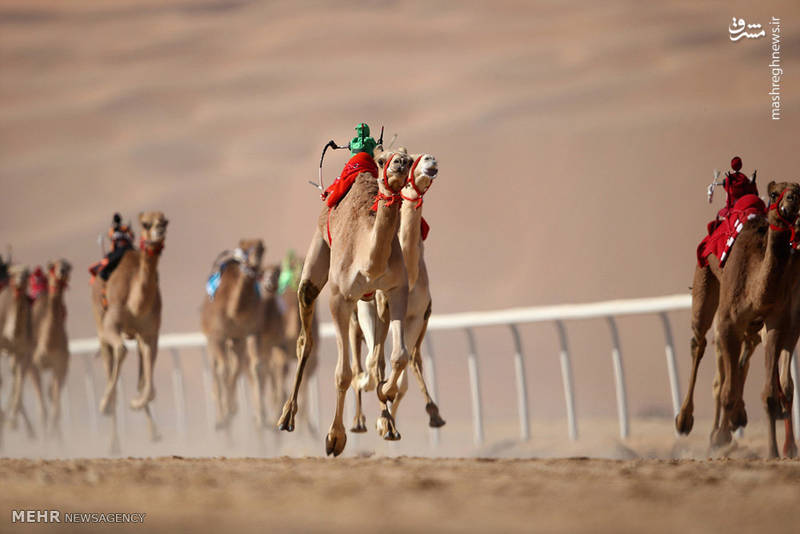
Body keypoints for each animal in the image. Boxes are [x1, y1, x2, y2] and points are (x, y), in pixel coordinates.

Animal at [91, 211, 168, 454]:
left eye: (165, 221)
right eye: (145, 224)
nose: (159, 231)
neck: (136, 305)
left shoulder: (151, 333)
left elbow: (148, 386)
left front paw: (136, 402)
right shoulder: (111, 325)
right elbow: (122, 352)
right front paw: (104, 405)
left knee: (139, 373)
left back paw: (154, 433)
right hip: (101, 329)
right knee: (112, 361)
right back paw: (113, 442)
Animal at [276, 147, 412, 456]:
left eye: (409, 159)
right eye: (382, 160)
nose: (399, 163)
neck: (368, 260)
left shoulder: (397, 289)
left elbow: (398, 355)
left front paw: (386, 395)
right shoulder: (340, 297)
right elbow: (342, 373)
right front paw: (334, 438)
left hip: (375, 300)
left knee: (378, 357)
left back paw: (388, 424)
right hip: (315, 262)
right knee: (305, 340)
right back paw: (286, 417)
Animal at [350, 152, 446, 436]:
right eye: (413, 159)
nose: (430, 160)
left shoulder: (415, 316)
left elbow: (400, 366)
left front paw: (387, 423)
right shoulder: (374, 309)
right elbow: (375, 363)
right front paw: (380, 411)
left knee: (412, 360)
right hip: (357, 318)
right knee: (360, 361)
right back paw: (358, 420)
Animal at [676, 182, 800, 458]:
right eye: (774, 194)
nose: (791, 201)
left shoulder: (779, 322)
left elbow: (774, 391)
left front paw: (778, 451)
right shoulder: (727, 322)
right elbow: (726, 390)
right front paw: (721, 436)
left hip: (755, 327)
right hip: (704, 278)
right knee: (699, 344)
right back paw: (685, 421)